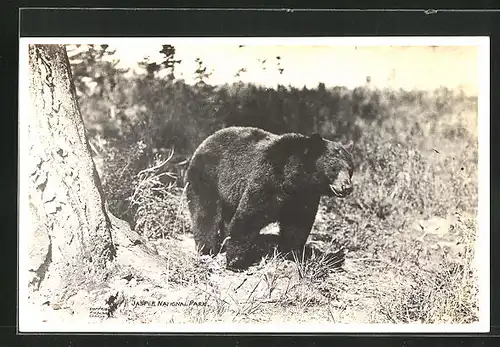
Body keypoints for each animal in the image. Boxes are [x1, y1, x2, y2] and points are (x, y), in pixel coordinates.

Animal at [186, 126, 354, 270]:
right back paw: (207, 248)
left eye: (350, 169)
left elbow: (297, 224)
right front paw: (235, 261)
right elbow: (249, 215)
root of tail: (206, 140)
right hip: (208, 178)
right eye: (334, 169)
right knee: (205, 214)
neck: (293, 180)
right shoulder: (268, 178)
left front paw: (290, 255)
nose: (347, 187)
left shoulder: (304, 197)